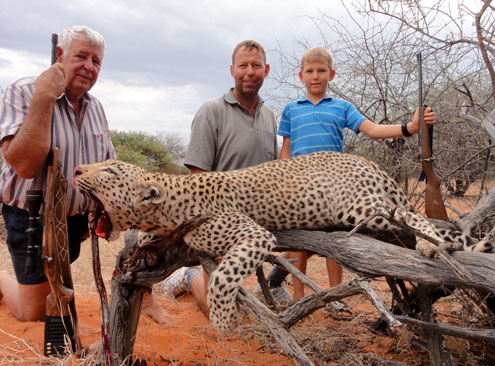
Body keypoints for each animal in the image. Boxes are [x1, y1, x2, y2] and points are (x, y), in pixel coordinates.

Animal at [71, 150, 494, 334]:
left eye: (110, 170)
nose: (76, 169)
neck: (170, 204)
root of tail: (370, 163)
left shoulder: (255, 234)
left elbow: (223, 277)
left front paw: (223, 322)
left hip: (363, 206)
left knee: (412, 218)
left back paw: (428, 245)